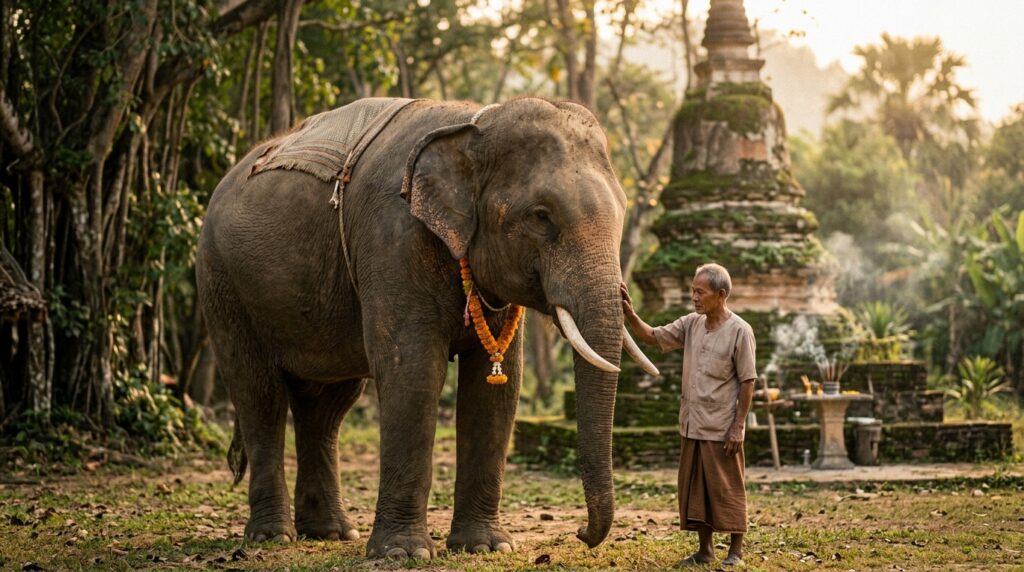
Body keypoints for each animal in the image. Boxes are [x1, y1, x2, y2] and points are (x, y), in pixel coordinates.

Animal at [196, 96, 659, 558]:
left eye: (622, 210)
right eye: (541, 216)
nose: (582, 534)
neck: (472, 122)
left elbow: (497, 385)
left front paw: (486, 547)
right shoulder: (392, 241)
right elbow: (414, 372)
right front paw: (404, 554)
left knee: (326, 407)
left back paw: (331, 533)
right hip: (222, 284)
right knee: (260, 396)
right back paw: (273, 536)